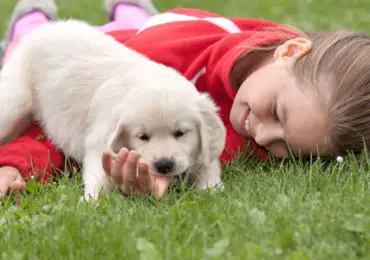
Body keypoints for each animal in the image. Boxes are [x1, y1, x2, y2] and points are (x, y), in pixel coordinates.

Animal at [0, 20, 225, 200]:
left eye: (180, 133)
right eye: (143, 137)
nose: (164, 165)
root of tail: (42, 29)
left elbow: (208, 169)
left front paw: (212, 192)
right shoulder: (100, 142)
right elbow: (98, 176)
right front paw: (91, 202)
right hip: (14, 104)